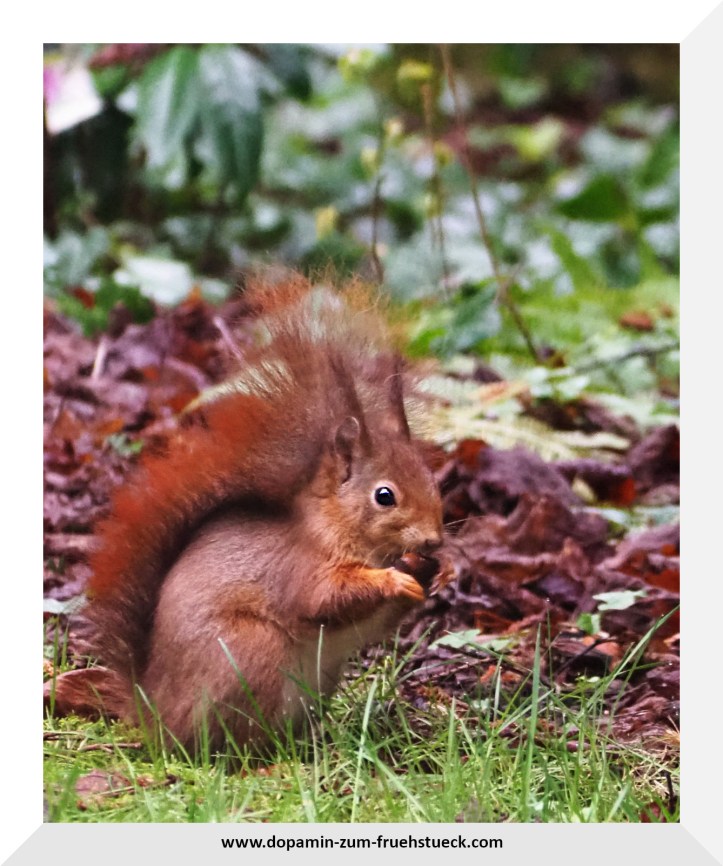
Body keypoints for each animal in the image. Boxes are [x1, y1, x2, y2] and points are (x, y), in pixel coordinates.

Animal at [51, 277, 450, 754]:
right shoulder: (299, 566)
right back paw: (263, 757)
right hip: (250, 652)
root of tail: (156, 716)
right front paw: (393, 579)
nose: (433, 541)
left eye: (432, 480)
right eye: (384, 496)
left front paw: (432, 572)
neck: (333, 524)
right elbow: (324, 599)